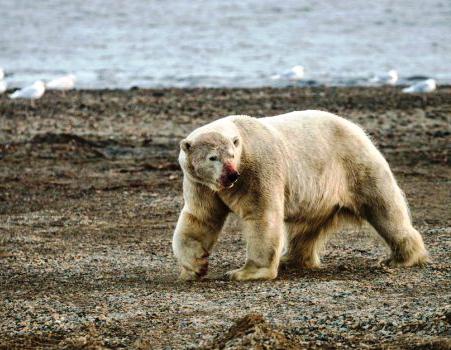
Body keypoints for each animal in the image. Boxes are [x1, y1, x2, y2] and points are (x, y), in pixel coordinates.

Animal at [171, 110, 430, 280]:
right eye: (213, 157)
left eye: (232, 154)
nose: (231, 175)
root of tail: (357, 129)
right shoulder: (201, 184)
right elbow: (200, 218)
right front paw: (195, 266)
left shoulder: (257, 170)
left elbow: (262, 215)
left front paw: (245, 272)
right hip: (319, 190)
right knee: (305, 228)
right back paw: (291, 259)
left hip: (355, 166)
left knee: (385, 208)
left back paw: (402, 257)